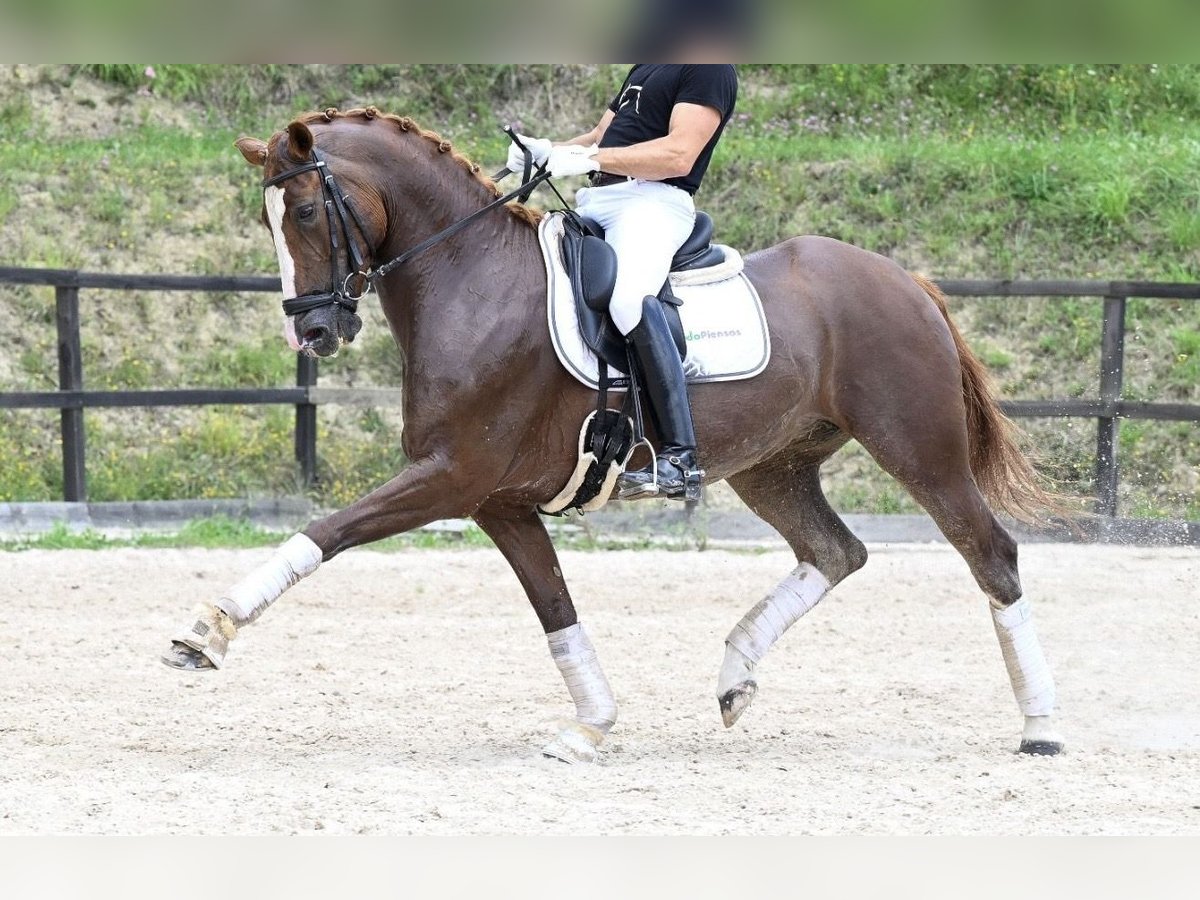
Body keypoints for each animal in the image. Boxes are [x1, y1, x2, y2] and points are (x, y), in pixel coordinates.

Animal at [162, 109, 1060, 763]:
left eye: (308, 209)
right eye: (269, 220)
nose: (313, 331)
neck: (471, 278)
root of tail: (905, 279)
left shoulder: (450, 474)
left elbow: (325, 532)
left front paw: (207, 631)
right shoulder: (497, 500)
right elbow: (555, 609)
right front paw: (591, 723)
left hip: (919, 448)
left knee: (991, 555)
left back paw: (1041, 728)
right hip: (773, 467)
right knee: (836, 552)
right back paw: (734, 677)